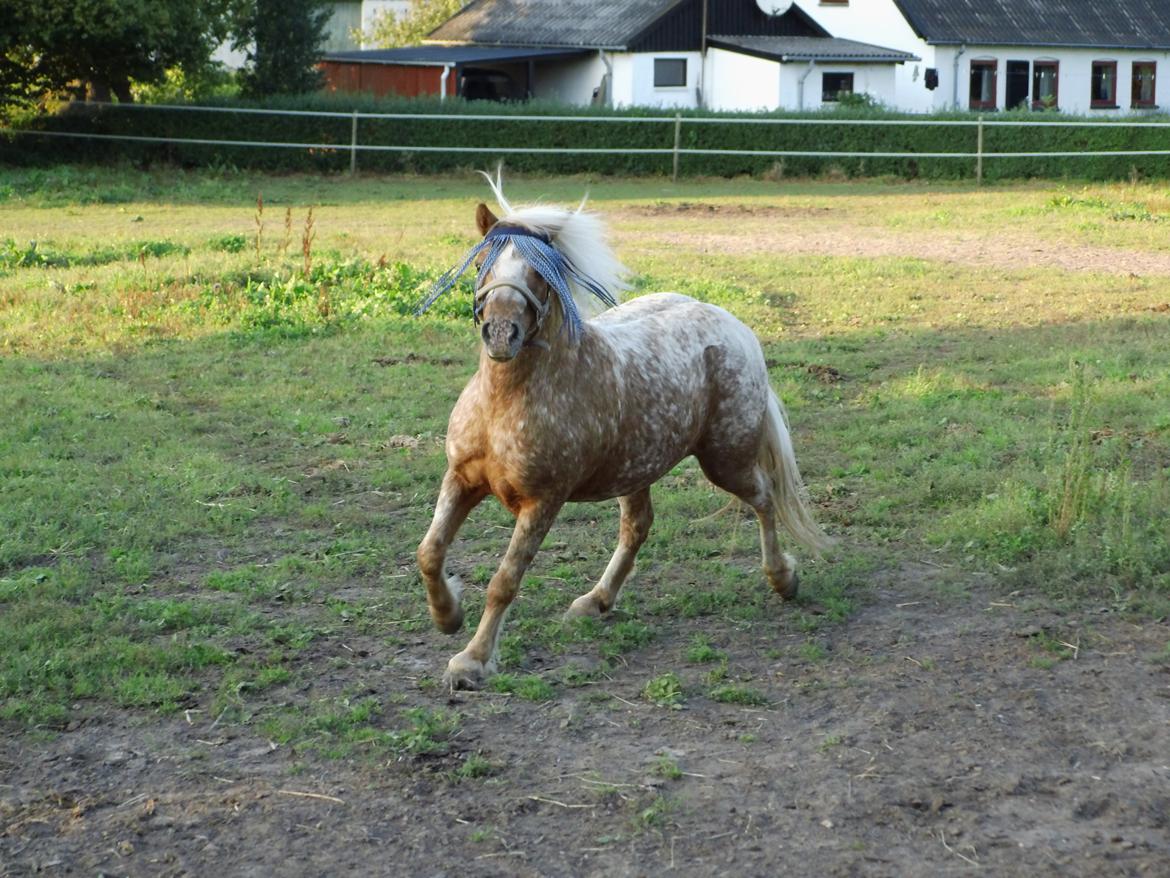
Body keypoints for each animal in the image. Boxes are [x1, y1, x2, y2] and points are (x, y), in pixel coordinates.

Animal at [416, 179, 828, 693]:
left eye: (540, 274)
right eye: (480, 264)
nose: (500, 332)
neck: (505, 404)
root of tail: (734, 326)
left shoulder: (542, 502)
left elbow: (505, 580)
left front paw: (472, 661)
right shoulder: (462, 479)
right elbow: (430, 552)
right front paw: (448, 615)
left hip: (725, 460)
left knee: (763, 498)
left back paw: (782, 579)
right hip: (636, 469)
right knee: (638, 527)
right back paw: (596, 601)